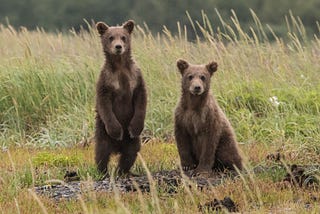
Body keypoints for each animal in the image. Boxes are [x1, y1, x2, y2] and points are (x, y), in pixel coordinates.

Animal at [94, 20, 146, 176]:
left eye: (123, 37)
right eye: (111, 37)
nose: (118, 47)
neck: (120, 66)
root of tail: (117, 148)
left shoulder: (135, 77)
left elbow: (141, 99)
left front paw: (135, 127)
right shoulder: (106, 80)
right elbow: (104, 104)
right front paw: (117, 131)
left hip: (132, 141)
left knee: (130, 153)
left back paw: (122, 171)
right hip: (102, 132)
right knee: (102, 152)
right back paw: (103, 172)